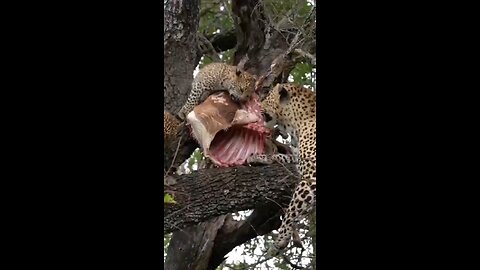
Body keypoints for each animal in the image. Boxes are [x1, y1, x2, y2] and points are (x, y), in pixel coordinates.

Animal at [246, 82, 316, 255]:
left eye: (268, 96)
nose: (259, 105)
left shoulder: (311, 177)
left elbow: (292, 210)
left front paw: (280, 240)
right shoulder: (297, 157)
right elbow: (282, 157)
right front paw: (258, 157)